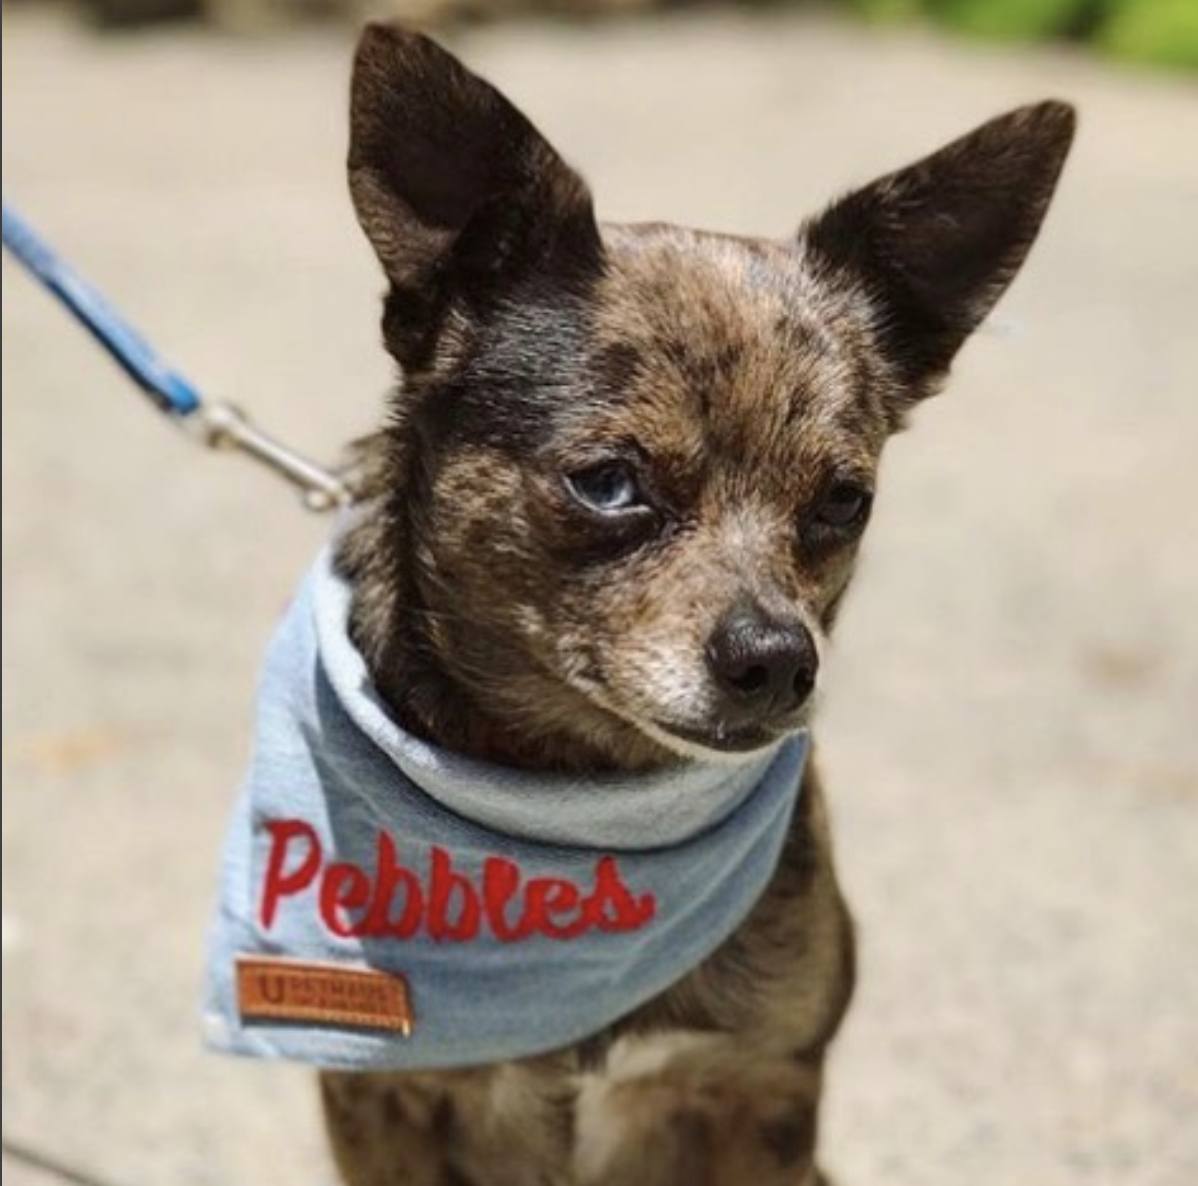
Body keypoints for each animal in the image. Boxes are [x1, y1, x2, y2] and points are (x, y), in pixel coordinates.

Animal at [313, 23, 1073, 1183]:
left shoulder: (759, 1089)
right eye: (607, 482)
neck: (578, 821)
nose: (777, 659)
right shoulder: (381, 1100)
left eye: (844, 501)